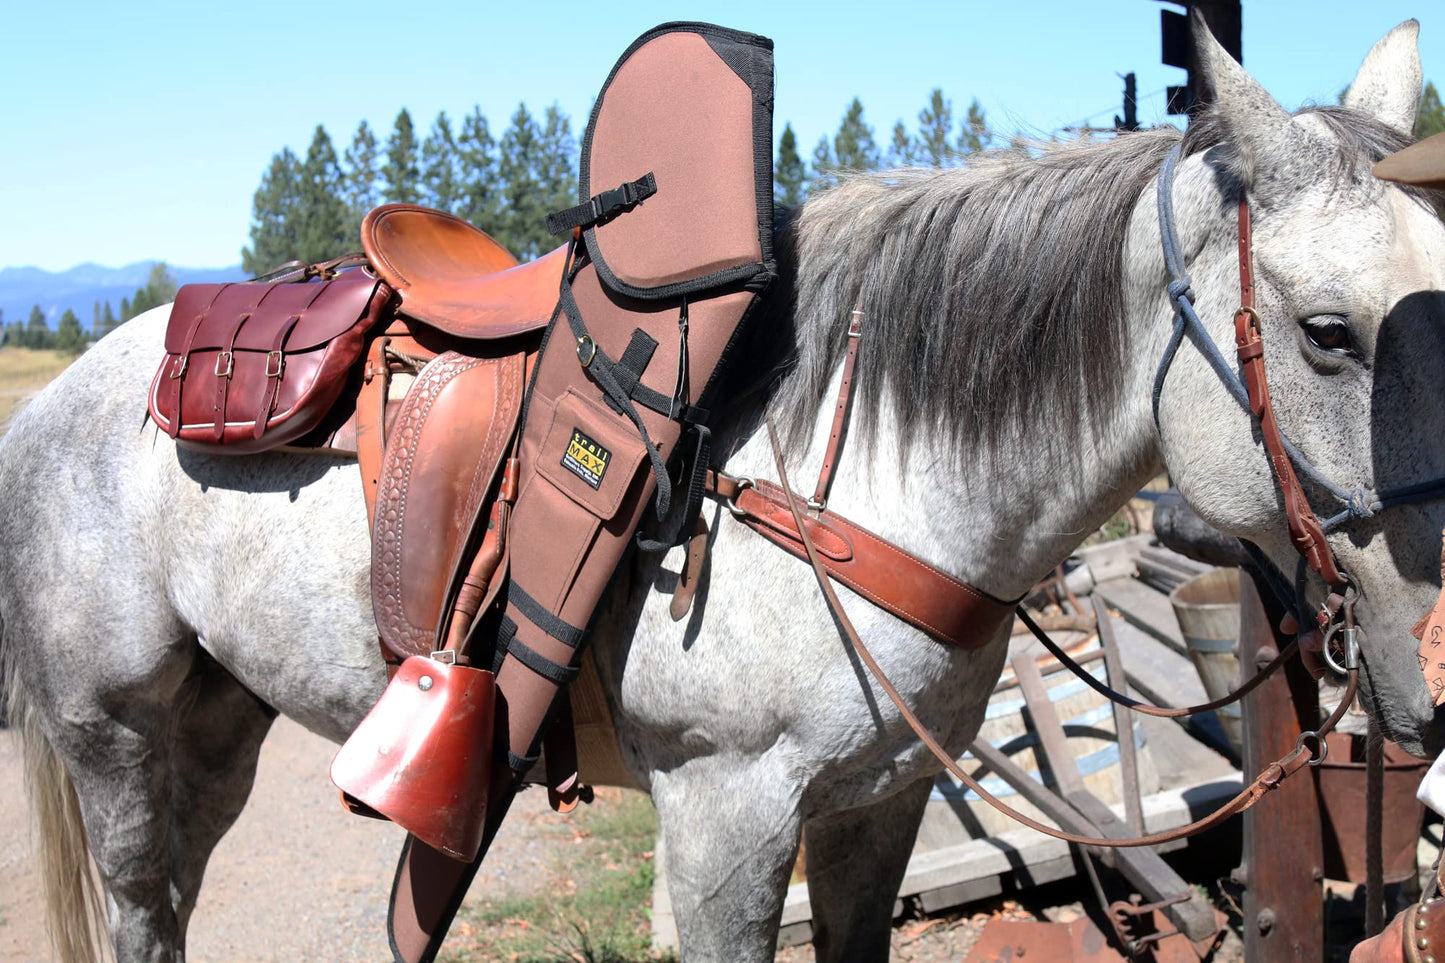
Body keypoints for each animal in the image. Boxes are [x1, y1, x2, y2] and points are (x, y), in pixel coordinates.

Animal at [3, 21, 1443, 963]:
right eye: (1326, 333)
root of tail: (61, 396)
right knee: (142, 910)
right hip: (111, 734)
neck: (859, 471)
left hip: (216, 729)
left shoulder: (875, 805)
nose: (1425, 664)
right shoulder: (724, 819)